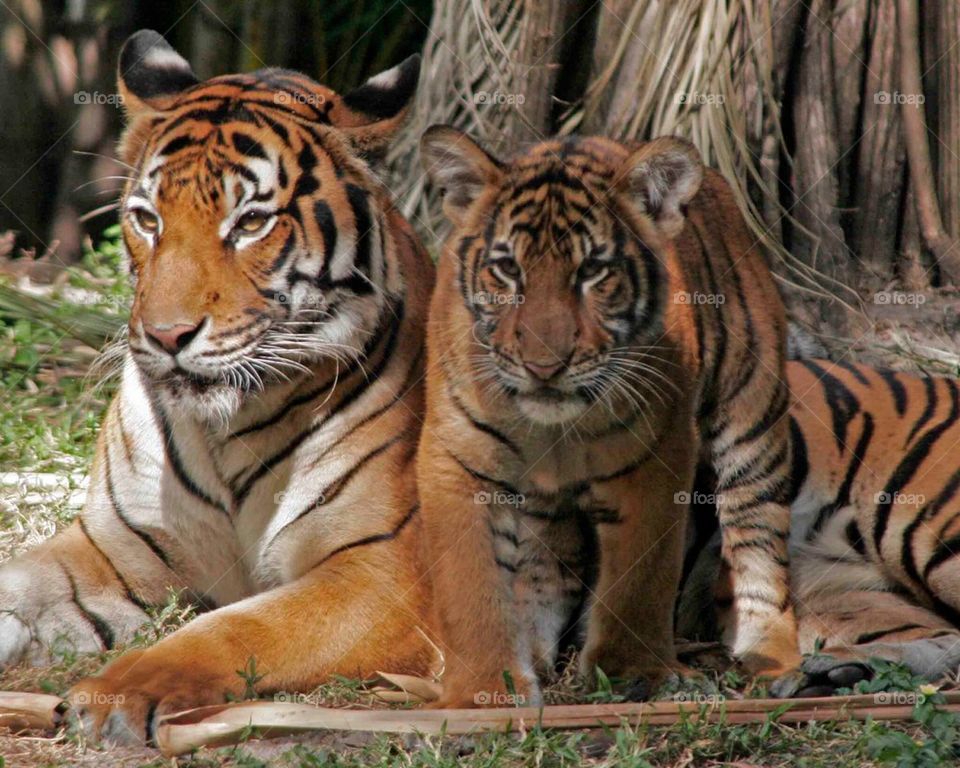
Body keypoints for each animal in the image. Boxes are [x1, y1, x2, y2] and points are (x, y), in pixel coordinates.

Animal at [0, 30, 437, 744]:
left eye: (252, 223)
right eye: (148, 220)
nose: (167, 335)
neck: (227, 428)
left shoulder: (387, 575)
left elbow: (237, 628)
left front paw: (119, 694)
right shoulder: (114, 545)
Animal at [416, 126, 801, 707]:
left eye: (593, 271)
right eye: (508, 269)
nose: (544, 366)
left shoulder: (656, 452)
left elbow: (640, 576)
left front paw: (634, 673)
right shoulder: (456, 459)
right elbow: (472, 584)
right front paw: (484, 689)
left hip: (751, 419)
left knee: (758, 540)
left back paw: (774, 659)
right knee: (545, 566)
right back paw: (534, 652)